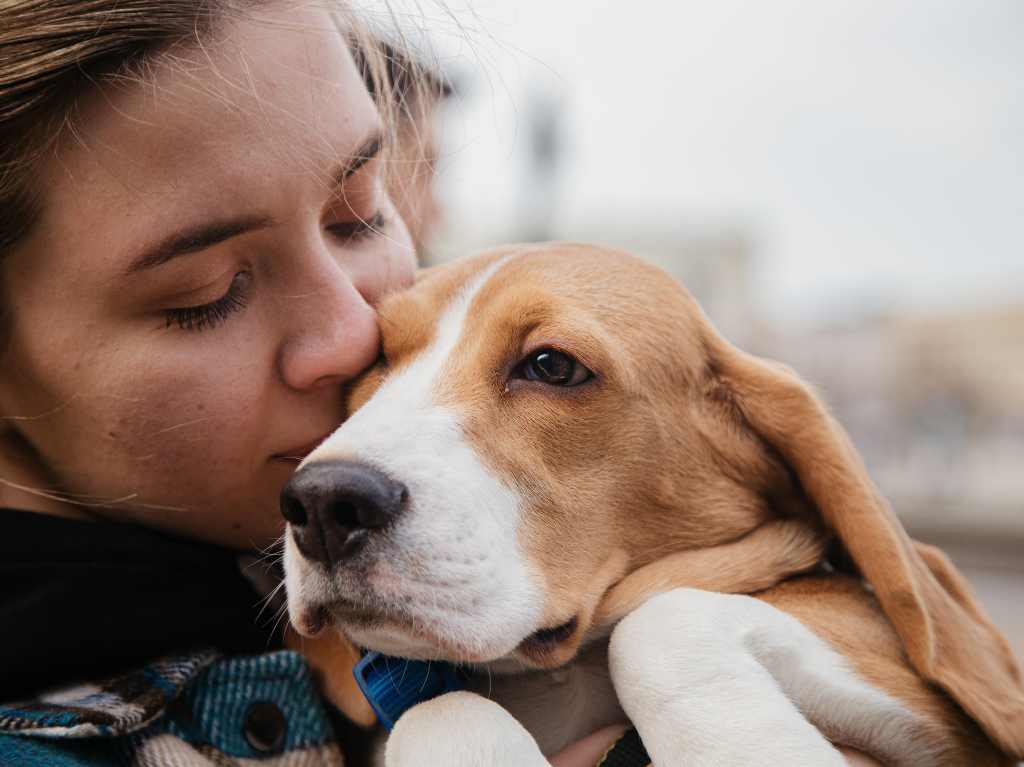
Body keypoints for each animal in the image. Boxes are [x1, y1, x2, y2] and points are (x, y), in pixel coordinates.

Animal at [280, 243, 1024, 765]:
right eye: (375, 360)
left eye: (552, 365)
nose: (322, 502)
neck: (558, 678)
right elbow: (438, 710)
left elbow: (658, 621)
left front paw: (750, 753)